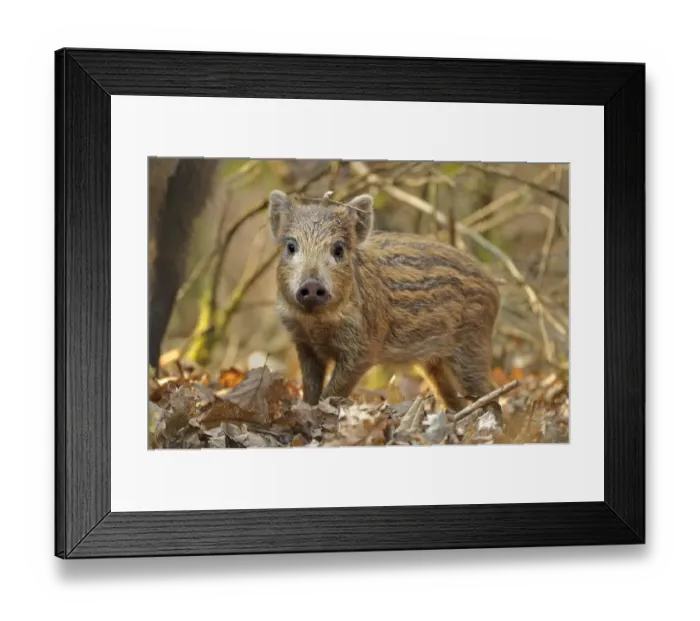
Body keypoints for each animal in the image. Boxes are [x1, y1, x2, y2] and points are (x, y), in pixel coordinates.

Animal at [268, 189, 501, 414]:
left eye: (338, 249)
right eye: (291, 247)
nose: (312, 286)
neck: (317, 323)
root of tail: (493, 285)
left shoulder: (364, 347)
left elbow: (333, 391)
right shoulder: (304, 343)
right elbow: (310, 388)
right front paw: (306, 408)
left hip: (472, 343)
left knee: (490, 393)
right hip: (435, 361)